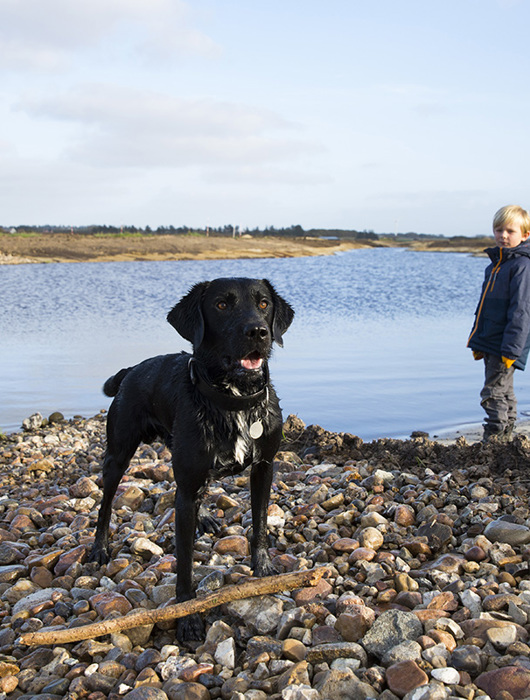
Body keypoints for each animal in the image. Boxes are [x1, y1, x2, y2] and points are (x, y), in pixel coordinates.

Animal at [87, 278, 292, 640]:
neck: (232, 401)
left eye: (264, 303)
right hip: (118, 455)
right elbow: (183, 562)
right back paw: (99, 546)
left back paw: (206, 516)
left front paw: (264, 568)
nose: (257, 331)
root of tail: (131, 370)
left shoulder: (264, 468)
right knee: (106, 503)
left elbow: (260, 526)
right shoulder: (187, 487)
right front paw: (187, 616)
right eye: (222, 305)